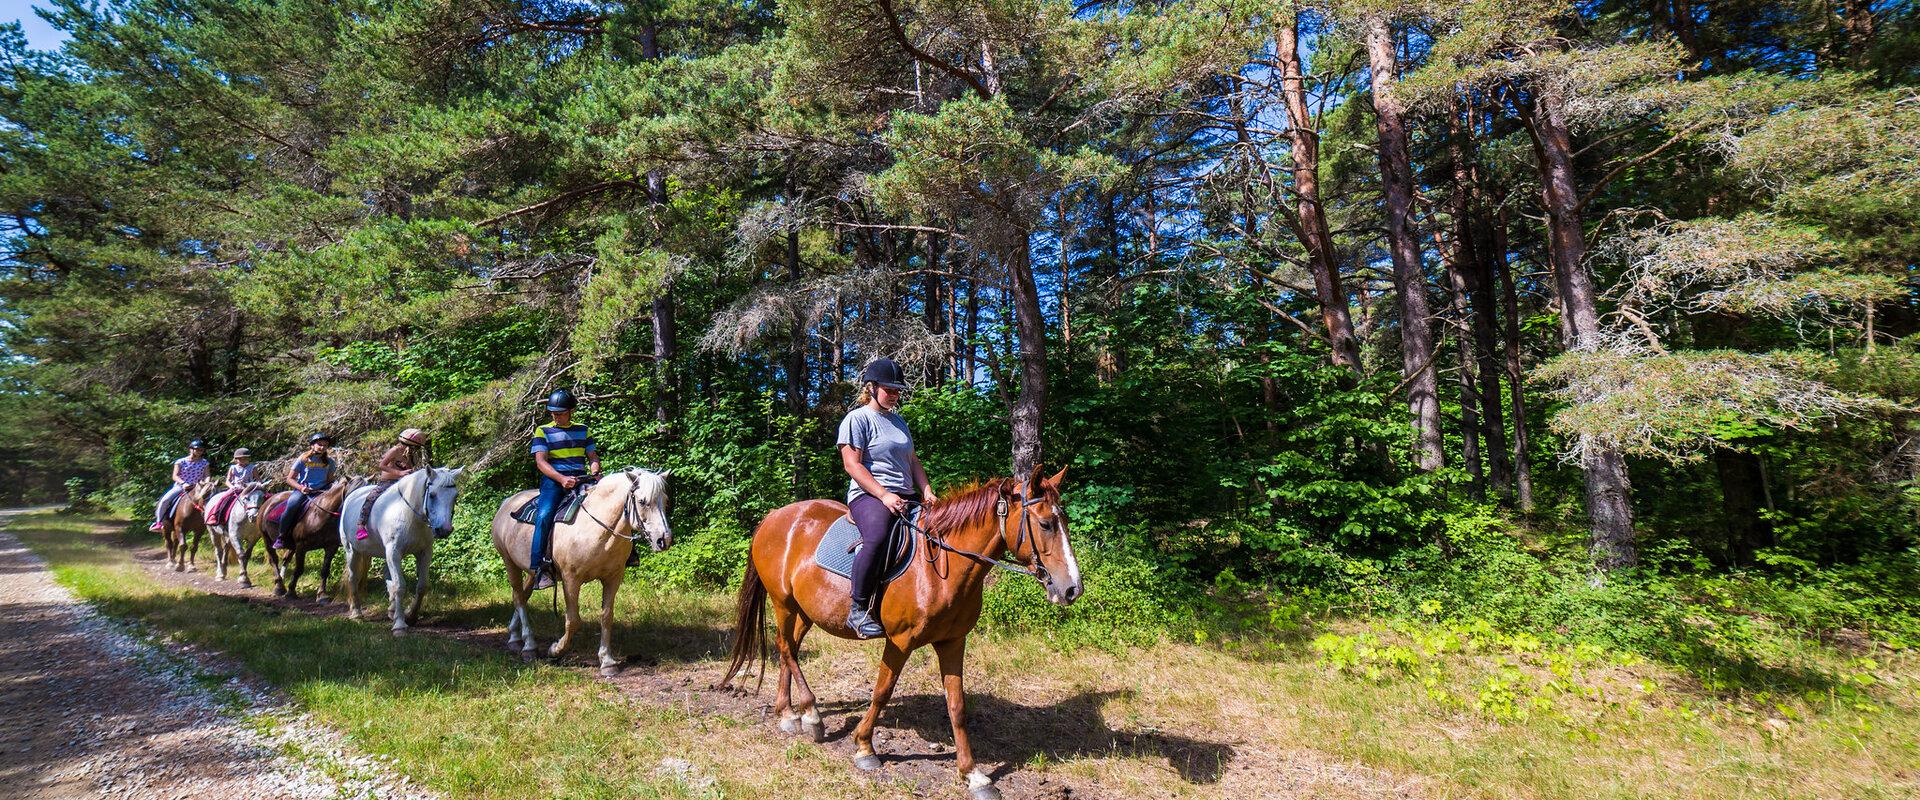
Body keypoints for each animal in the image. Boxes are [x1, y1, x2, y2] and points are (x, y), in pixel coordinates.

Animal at [337, 464, 464, 633]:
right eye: (432, 495)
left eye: (455, 496)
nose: (444, 530)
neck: (409, 514)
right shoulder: (394, 553)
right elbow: (399, 586)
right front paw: (399, 625)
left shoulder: (424, 553)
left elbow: (422, 586)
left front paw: (411, 615)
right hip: (352, 551)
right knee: (353, 578)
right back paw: (357, 613)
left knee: (387, 579)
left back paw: (391, 611)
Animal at [491, 468, 672, 675]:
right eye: (642, 501)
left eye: (665, 500)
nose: (664, 540)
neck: (596, 528)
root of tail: (507, 502)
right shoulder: (571, 580)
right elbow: (573, 620)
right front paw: (555, 650)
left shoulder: (613, 578)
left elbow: (607, 616)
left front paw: (607, 662)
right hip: (509, 563)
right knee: (519, 599)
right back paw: (529, 646)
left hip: (532, 572)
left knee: (521, 595)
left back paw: (514, 637)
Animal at [721, 460, 1082, 798]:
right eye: (1046, 524)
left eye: (1063, 521)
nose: (1072, 589)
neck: (938, 569)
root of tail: (774, 517)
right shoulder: (900, 641)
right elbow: (882, 691)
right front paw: (864, 747)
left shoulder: (953, 641)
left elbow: (957, 707)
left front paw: (973, 775)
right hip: (782, 602)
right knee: (786, 649)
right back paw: (810, 714)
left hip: (804, 611)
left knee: (789, 649)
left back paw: (788, 714)